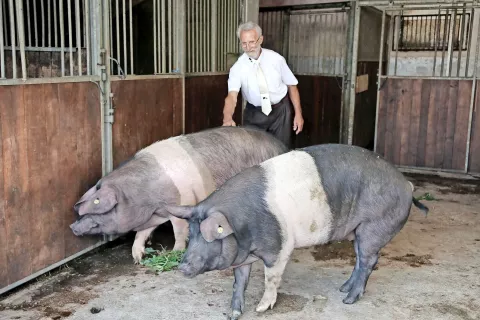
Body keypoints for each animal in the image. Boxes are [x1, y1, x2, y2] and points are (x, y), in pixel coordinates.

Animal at [69, 126, 286, 264]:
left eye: (97, 206)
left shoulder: (182, 202)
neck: (145, 197)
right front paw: (137, 258)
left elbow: (179, 230)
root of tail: (280, 145)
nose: (72, 226)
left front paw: (176, 251)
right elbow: (142, 233)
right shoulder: (155, 214)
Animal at [166, 144, 432, 318]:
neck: (243, 227)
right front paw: (233, 314)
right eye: (192, 235)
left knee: (369, 261)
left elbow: (271, 279)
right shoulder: (242, 256)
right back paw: (342, 289)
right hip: (358, 231)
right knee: (358, 259)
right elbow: (239, 281)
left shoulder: (279, 248)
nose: (182, 266)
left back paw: (348, 300)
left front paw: (261, 309)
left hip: (374, 227)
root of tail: (406, 184)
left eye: (208, 237)